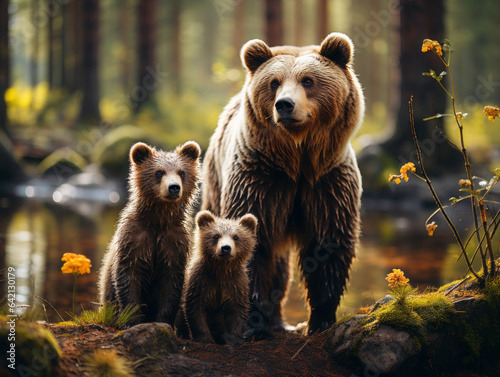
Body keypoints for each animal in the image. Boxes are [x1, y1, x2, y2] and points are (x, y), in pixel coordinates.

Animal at [202, 33, 364, 336]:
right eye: (274, 82)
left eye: (308, 80)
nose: (284, 104)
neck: (297, 160)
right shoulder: (260, 179)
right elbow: (251, 243)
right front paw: (252, 325)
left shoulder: (325, 182)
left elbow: (329, 242)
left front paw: (321, 319)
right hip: (215, 183)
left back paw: (280, 321)